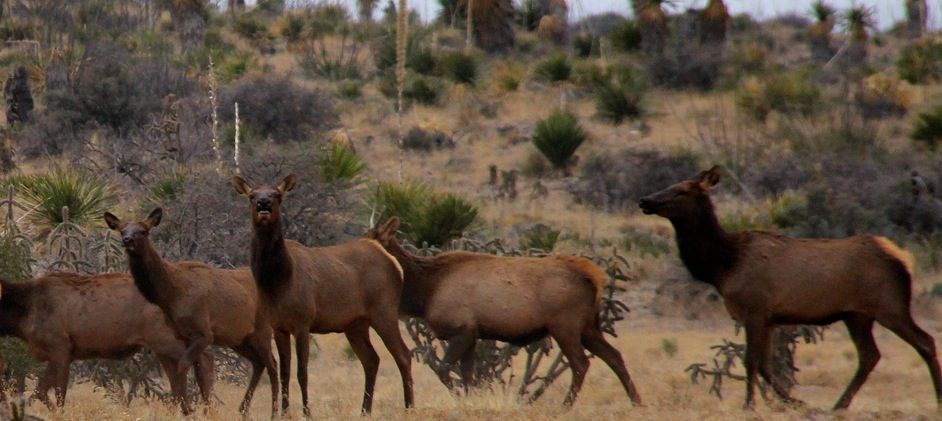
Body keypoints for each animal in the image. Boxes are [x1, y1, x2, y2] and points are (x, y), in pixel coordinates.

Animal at [0, 272, 213, 414]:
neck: (24, 312)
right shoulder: (62, 354)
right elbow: (42, 390)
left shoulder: (60, 348)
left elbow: (55, 392)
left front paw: (58, 412)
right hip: (161, 346)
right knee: (178, 373)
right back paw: (187, 410)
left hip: (166, 339)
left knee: (204, 359)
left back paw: (206, 408)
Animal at [104, 208, 280, 417]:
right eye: (122, 230)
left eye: (144, 231)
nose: (127, 240)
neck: (171, 295)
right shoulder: (185, 335)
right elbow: (197, 374)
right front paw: (200, 410)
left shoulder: (204, 332)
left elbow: (182, 368)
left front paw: (186, 408)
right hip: (238, 337)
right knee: (258, 363)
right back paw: (243, 409)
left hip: (262, 330)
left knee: (272, 365)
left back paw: (276, 412)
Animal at [231, 174, 413, 416]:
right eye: (252, 196)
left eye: (277, 195)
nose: (264, 204)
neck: (277, 281)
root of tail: (393, 262)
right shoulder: (278, 326)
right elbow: (284, 372)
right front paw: (285, 413)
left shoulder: (303, 321)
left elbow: (302, 372)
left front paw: (307, 412)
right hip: (355, 323)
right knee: (371, 360)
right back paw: (364, 410)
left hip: (384, 311)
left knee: (403, 355)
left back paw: (409, 407)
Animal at [366, 217, 643, 407]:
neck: (425, 291)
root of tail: (593, 278)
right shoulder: (472, 335)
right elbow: (468, 376)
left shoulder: (462, 330)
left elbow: (446, 371)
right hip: (589, 327)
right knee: (614, 356)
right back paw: (636, 401)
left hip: (565, 326)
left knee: (581, 363)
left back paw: (565, 406)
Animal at [639, 165, 942, 410]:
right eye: (671, 185)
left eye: (681, 191)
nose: (644, 200)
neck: (722, 267)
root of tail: (904, 260)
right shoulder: (770, 318)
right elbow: (766, 365)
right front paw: (794, 401)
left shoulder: (754, 310)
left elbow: (751, 360)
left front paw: (749, 405)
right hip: (857, 315)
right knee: (870, 355)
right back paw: (839, 405)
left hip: (889, 305)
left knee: (924, 341)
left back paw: (936, 398)